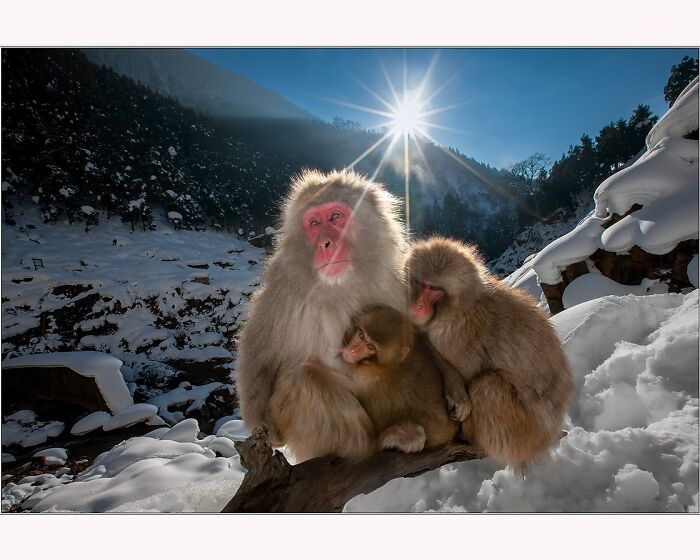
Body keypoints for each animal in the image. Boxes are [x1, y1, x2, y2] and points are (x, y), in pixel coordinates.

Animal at [237, 168, 404, 462]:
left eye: (335, 217)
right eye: (314, 223)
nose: (324, 243)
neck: (339, 287)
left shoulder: (396, 284)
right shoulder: (282, 295)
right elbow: (258, 354)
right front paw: (265, 429)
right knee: (302, 376)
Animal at [404, 234, 576, 470]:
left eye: (434, 289)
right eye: (420, 283)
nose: (419, 304)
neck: (463, 305)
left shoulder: (452, 336)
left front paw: (456, 390)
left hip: (523, 434)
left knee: (487, 387)